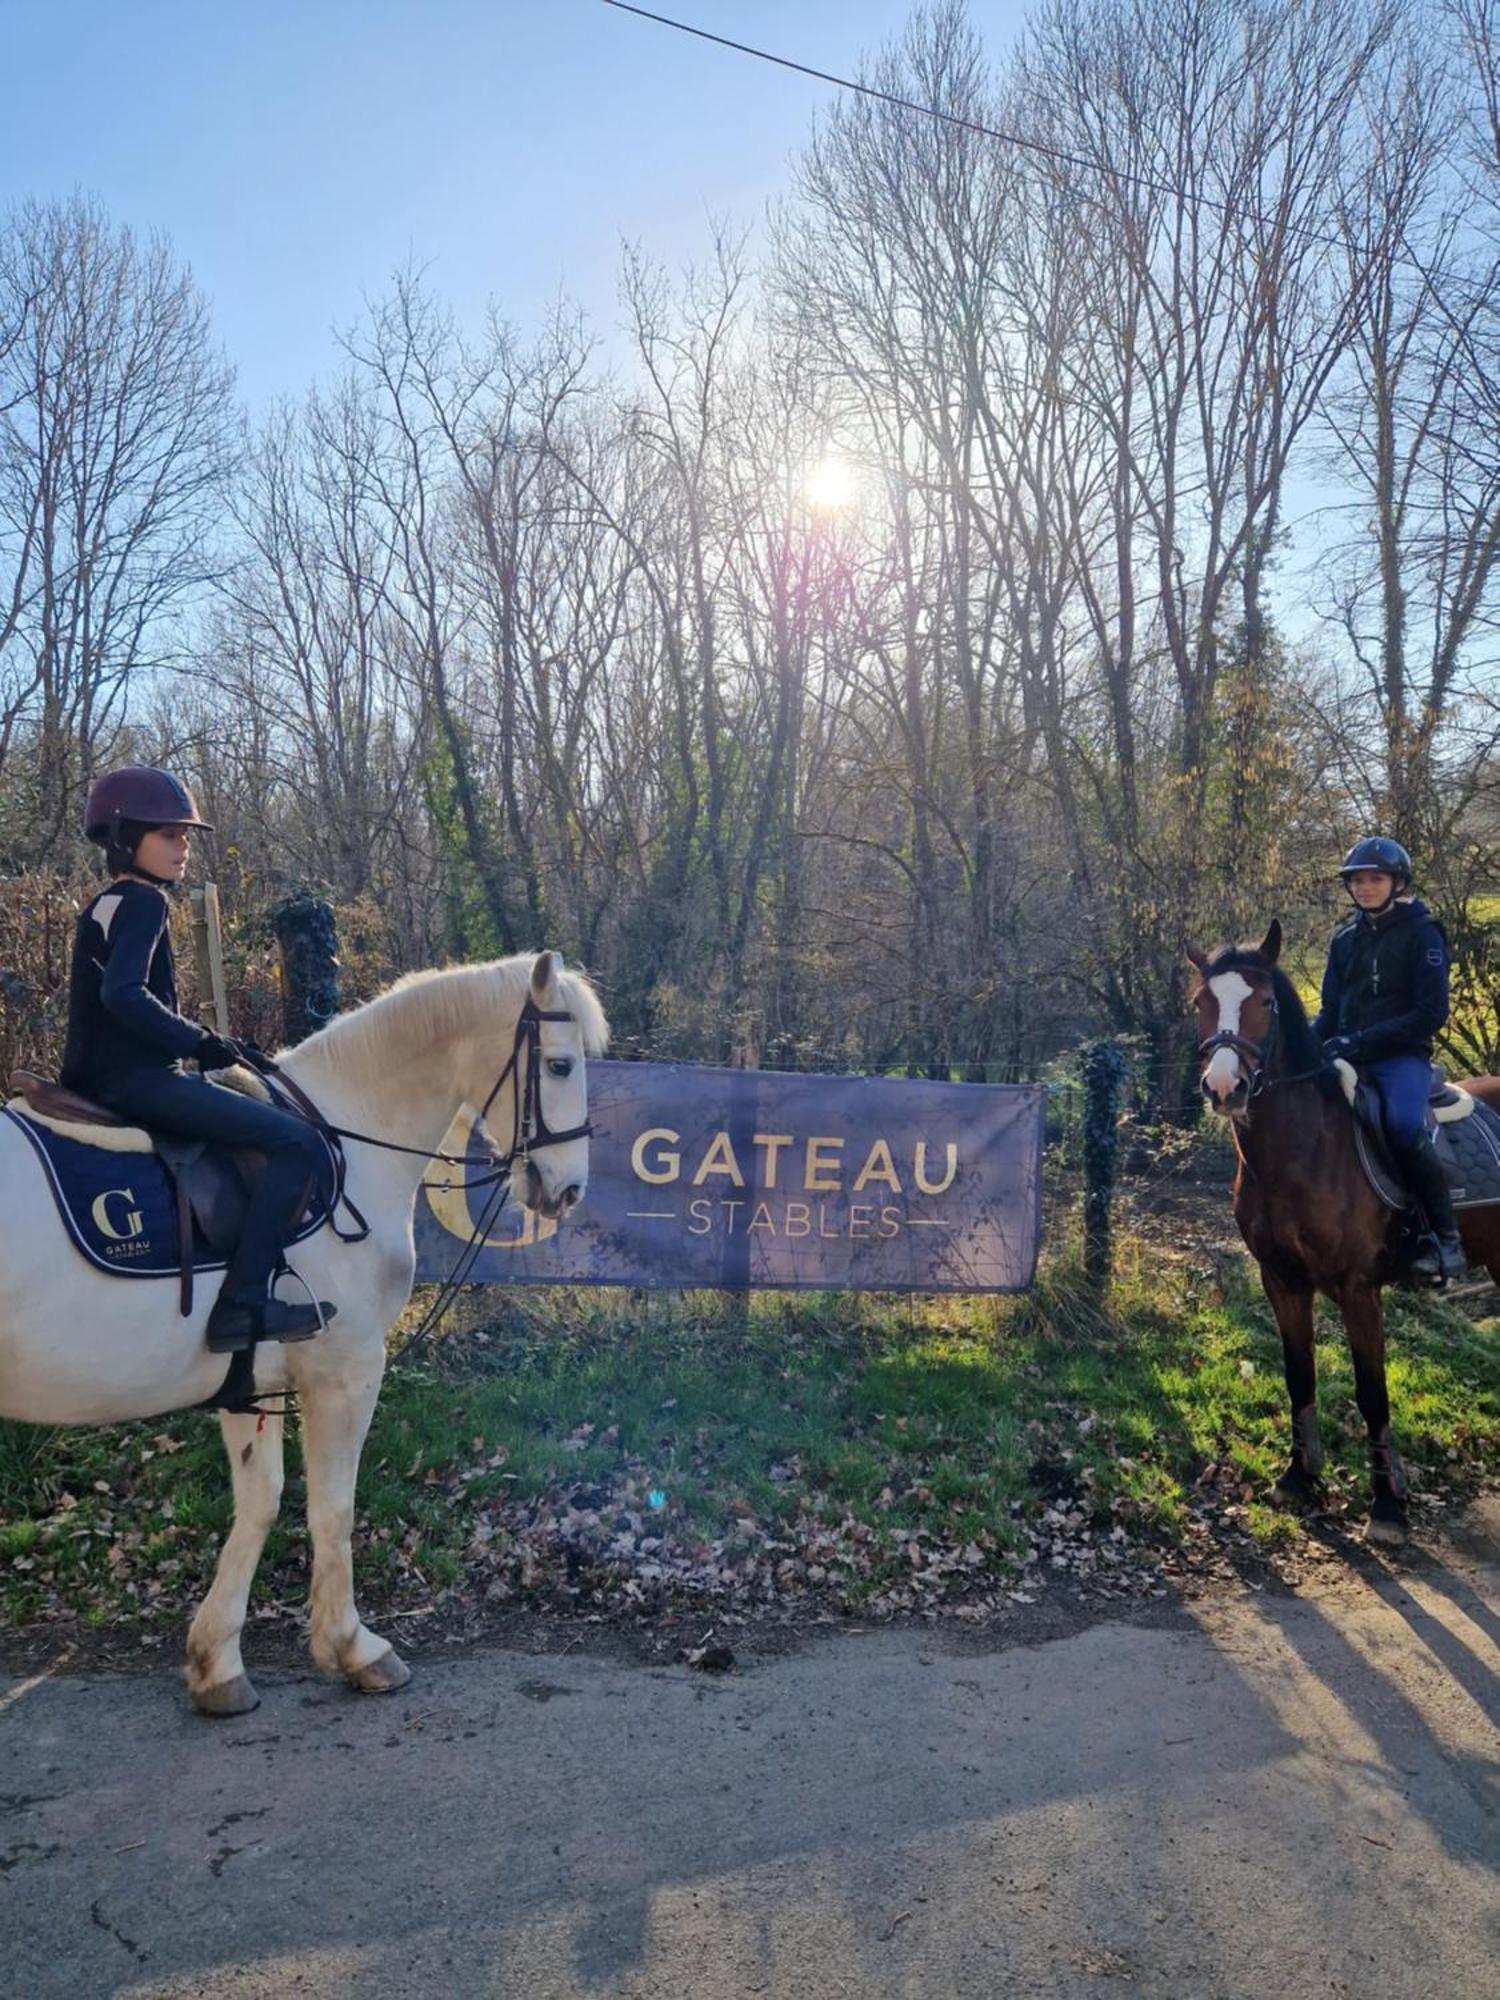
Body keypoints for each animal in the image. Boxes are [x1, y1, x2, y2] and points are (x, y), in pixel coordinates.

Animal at [2, 956, 612, 1720]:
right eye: (559, 1065)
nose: (570, 1190)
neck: (348, 1137)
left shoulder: (248, 1385)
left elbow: (259, 1503)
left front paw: (217, 1663)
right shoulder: (345, 1371)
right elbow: (332, 1507)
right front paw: (354, 1648)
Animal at [1184, 920, 1500, 1544]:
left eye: (1264, 1002)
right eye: (1201, 1003)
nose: (1225, 1088)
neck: (1302, 1151)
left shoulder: (1358, 1290)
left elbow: (1372, 1394)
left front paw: (1388, 1506)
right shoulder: (1281, 1280)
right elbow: (1298, 1376)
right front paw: (1298, 1478)